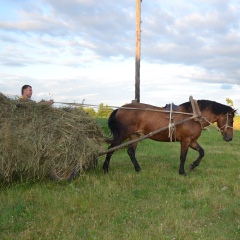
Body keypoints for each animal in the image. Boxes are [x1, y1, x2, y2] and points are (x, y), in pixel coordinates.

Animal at [102, 98, 235, 175]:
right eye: (231, 120)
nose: (230, 138)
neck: (192, 115)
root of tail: (119, 109)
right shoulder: (186, 141)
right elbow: (183, 157)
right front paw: (182, 172)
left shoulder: (192, 141)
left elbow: (202, 152)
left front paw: (192, 166)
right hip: (123, 135)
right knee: (110, 149)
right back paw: (105, 169)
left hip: (135, 135)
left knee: (131, 152)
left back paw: (138, 169)